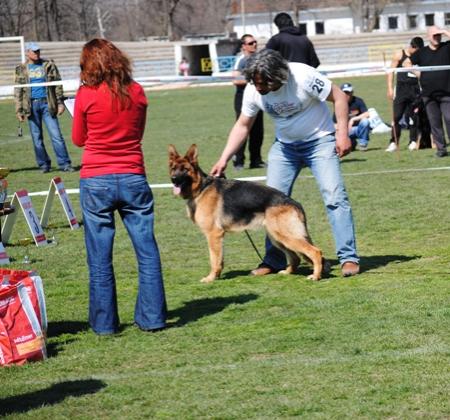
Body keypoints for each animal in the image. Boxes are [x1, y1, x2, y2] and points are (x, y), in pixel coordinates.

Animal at [169, 144, 324, 282]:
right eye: (173, 169)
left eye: (185, 169)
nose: (174, 180)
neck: (201, 188)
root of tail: (294, 202)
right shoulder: (218, 237)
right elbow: (219, 259)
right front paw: (217, 276)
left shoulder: (213, 235)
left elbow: (214, 259)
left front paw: (210, 278)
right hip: (277, 237)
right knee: (295, 257)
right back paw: (287, 272)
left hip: (285, 236)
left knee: (315, 251)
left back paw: (315, 276)